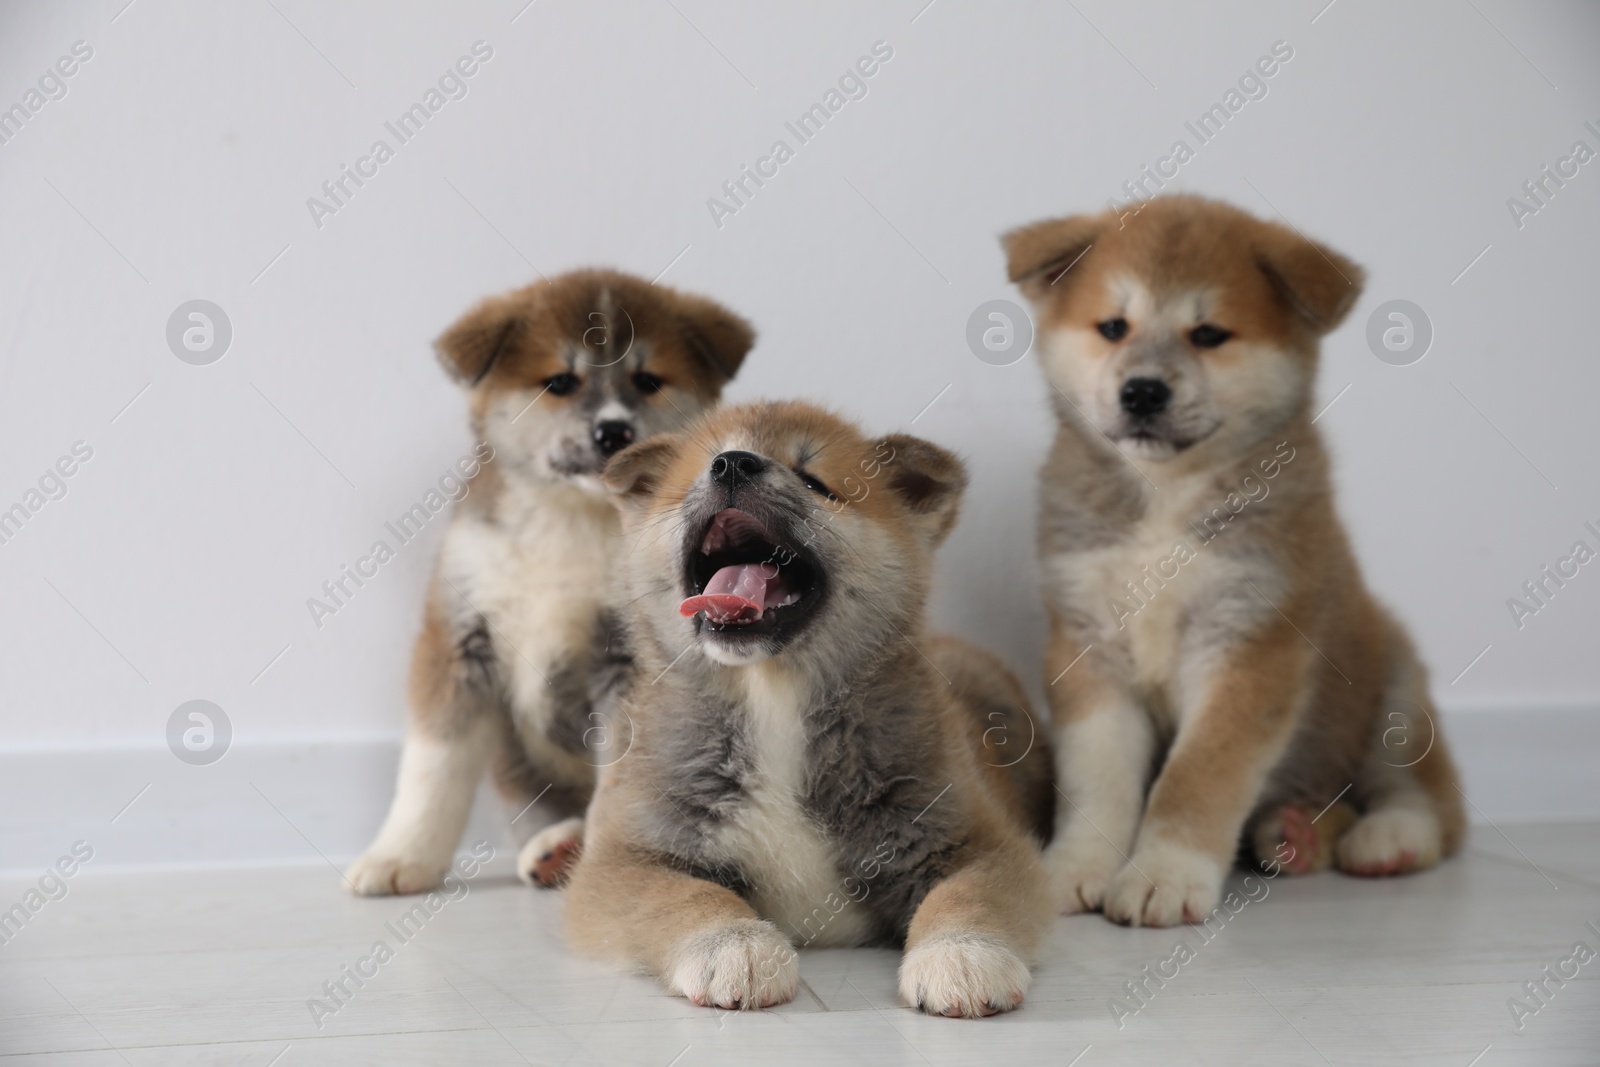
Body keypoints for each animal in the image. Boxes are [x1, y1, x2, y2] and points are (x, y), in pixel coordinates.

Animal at [345, 267, 755, 895]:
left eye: (648, 381)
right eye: (560, 381)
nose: (613, 431)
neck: (570, 523)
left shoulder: (630, 661)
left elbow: (619, 775)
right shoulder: (459, 636)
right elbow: (433, 767)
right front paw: (400, 855)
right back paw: (554, 847)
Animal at [563, 399, 1049, 1017]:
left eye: (815, 482)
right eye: (700, 471)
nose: (732, 463)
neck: (773, 697)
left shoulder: (976, 841)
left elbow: (969, 895)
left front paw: (962, 953)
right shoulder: (628, 858)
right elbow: (685, 895)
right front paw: (734, 943)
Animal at [1004, 198, 1465, 927]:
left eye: (1209, 334)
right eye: (1113, 327)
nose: (1142, 391)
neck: (1166, 498)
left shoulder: (1248, 642)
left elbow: (1195, 778)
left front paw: (1163, 873)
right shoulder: (1089, 650)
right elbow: (1097, 780)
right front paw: (1074, 866)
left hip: (1393, 692)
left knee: (1429, 798)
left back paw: (1386, 836)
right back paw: (1294, 832)